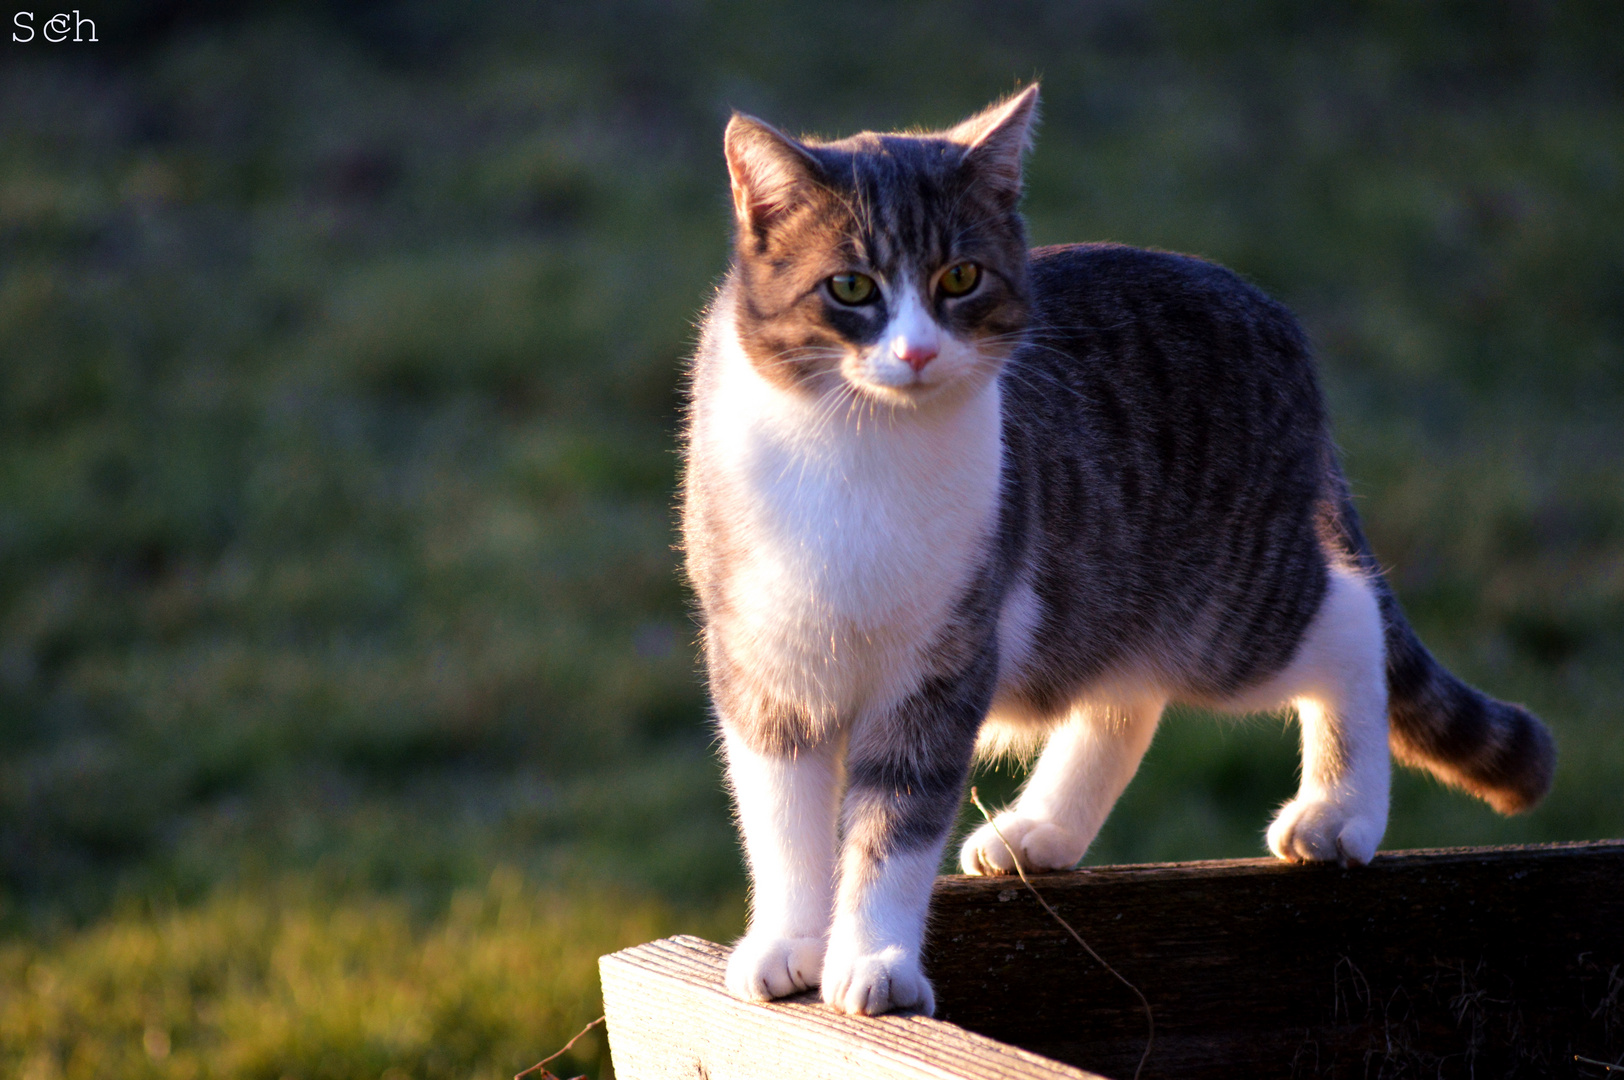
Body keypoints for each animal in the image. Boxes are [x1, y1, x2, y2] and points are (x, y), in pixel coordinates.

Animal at [678, 86, 1552, 1019]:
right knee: (1123, 698)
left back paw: (1338, 811)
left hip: (1224, 612)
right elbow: (782, 824)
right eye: (850, 288)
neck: (857, 449)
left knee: (1348, 618)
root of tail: (1275, 317)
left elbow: (894, 828)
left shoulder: (945, 662)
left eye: (961, 279)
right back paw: (1043, 828)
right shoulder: (764, 666)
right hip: (1099, 593)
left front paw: (874, 959)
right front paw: (788, 943)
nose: (916, 352)